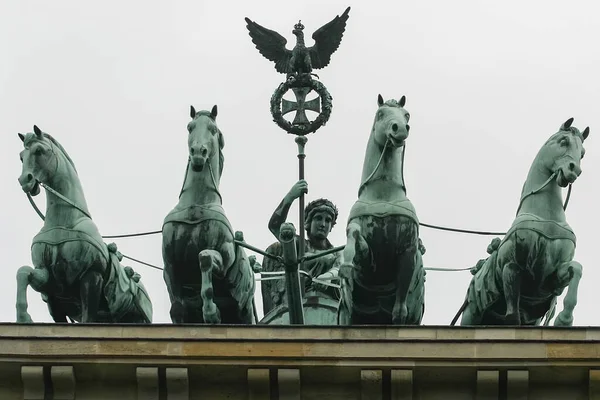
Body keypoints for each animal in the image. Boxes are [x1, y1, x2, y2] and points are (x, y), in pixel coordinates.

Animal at [162, 104, 255, 324]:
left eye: (213, 129)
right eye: (190, 127)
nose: (198, 153)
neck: (196, 205)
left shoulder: (225, 259)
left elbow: (204, 258)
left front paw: (211, 312)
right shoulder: (169, 265)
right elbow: (177, 309)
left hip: (245, 311)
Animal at [338, 94, 422, 324]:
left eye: (407, 115)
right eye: (380, 114)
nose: (399, 128)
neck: (383, 194)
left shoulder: (408, 250)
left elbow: (400, 311)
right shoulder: (368, 264)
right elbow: (356, 237)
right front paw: (346, 263)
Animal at [458, 118, 588, 324]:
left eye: (582, 153)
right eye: (563, 141)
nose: (574, 170)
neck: (545, 215)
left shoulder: (550, 278)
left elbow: (576, 268)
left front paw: (564, 318)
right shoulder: (512, 266)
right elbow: (513, 317)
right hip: (471, 314)